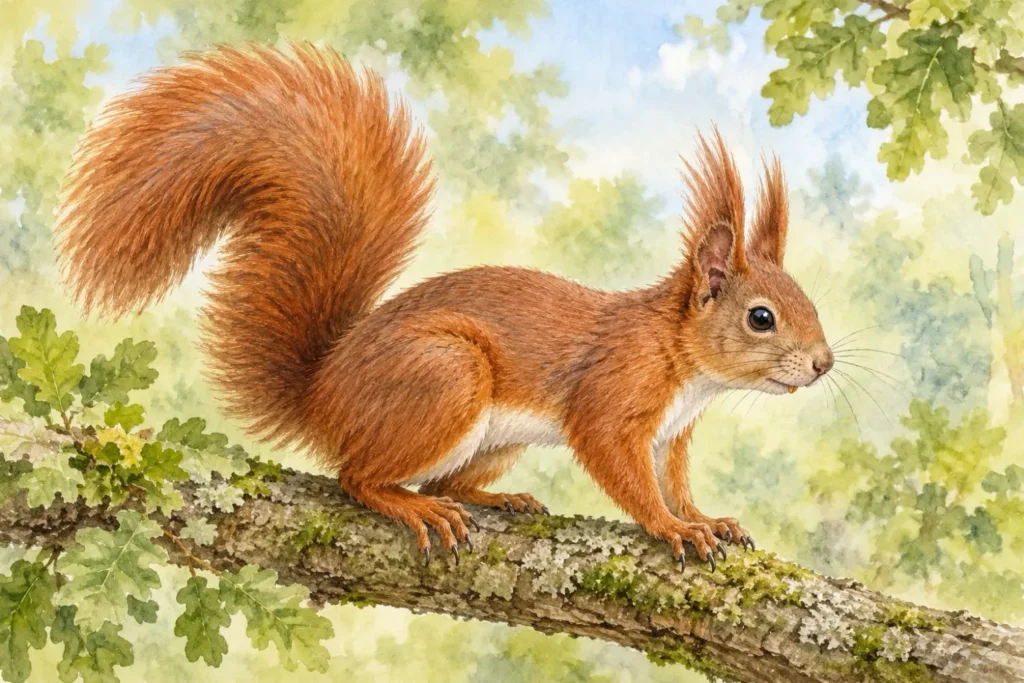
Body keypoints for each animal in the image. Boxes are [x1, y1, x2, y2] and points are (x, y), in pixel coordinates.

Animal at [55, 42, 833, 570]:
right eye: (761, 316)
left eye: (808, 300)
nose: (824, 364)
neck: (682, 358)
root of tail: (323, 395)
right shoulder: (611, 400)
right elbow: (626, 473)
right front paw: (671, 528)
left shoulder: (675, 434)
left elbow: (675, 481)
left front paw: (707, 517)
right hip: (446, 378)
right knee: (357, 476)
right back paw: (414, 505)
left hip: (494, 434)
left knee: (439, 474)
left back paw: (494, 499)